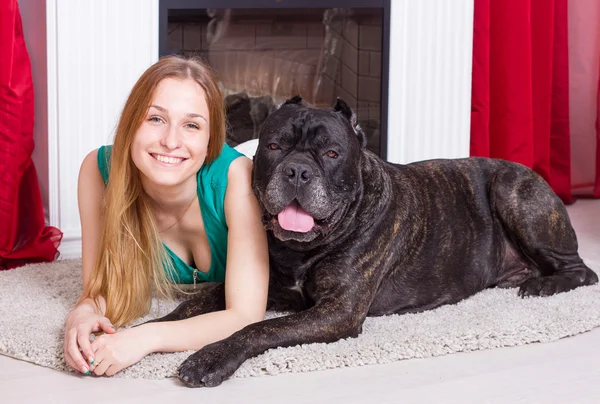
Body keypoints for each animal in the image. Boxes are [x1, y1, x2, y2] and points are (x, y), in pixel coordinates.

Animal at [149, 95, 596, 388]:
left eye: (331, 153)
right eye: (273, 147)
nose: (297, 170)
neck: (302, 249)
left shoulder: (337, 312)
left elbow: (259, 329)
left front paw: (209, 357)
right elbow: (189, 308)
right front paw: (149, 329)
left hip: (512, 191)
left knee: (583, 271)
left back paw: (543, 285)